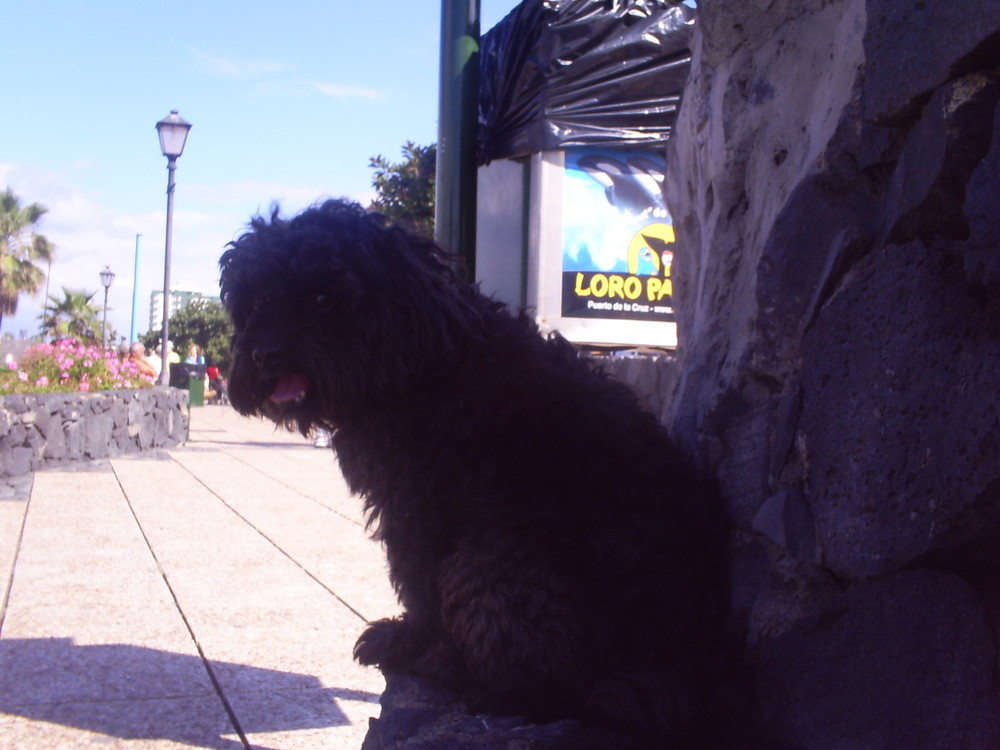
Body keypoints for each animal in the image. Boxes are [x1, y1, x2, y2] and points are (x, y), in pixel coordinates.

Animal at [219, 201, 736, 750]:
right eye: (258, 299)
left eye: (322, 297)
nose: (263, 354)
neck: (424, 358)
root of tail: (676, 672)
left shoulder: (417, 510)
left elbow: (417, 586)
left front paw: (408, 639)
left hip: (492, 563)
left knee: (543, 689)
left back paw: (459, 672)